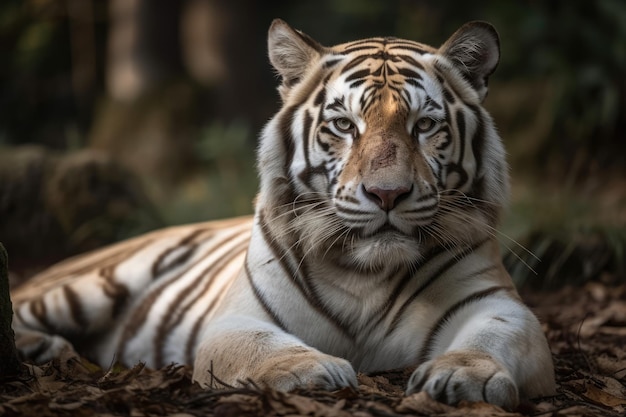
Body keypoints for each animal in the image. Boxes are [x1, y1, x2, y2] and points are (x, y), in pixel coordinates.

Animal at [11, 18, 556, 406]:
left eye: (424, 125)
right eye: (344, 125)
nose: (387, 194)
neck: (368, 273)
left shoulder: (497, 303)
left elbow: (493, 336)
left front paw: (463, 375)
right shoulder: (236, 318)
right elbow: (262, 347)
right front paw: (313, 370)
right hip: (91, 285)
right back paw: (47, 348)